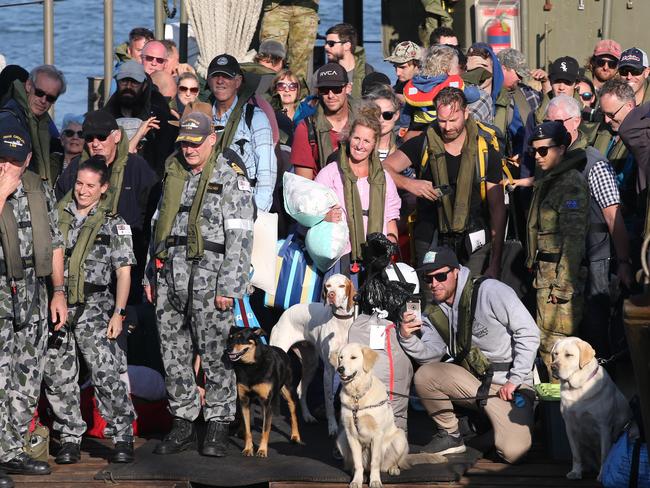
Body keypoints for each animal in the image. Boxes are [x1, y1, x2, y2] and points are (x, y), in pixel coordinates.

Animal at [225, 324, 302, 458]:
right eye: (230, 337)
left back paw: (295, 436)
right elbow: (248, 429)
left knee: (293, 414)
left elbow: (265, 429)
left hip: (288, 390)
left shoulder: (267, 403)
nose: (228, 349)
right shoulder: (244, 399)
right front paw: (248, 449)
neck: (250, 365)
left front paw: (261, 450)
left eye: (241, 337)